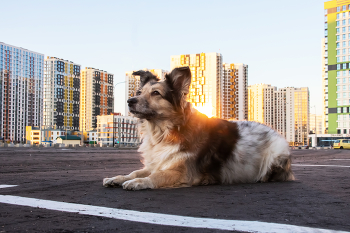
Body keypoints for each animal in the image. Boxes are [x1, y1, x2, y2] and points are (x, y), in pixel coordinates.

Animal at [102, 66, 294, 190]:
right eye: (139, 93)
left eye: (156, 93)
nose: (130, 101)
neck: (165, 131)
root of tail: (274, 131)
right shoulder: (160, 162)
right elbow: (136, 171)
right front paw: (117, 178)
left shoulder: (183, 172)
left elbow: (156, 176)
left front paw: (139, 183)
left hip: (276, 153)